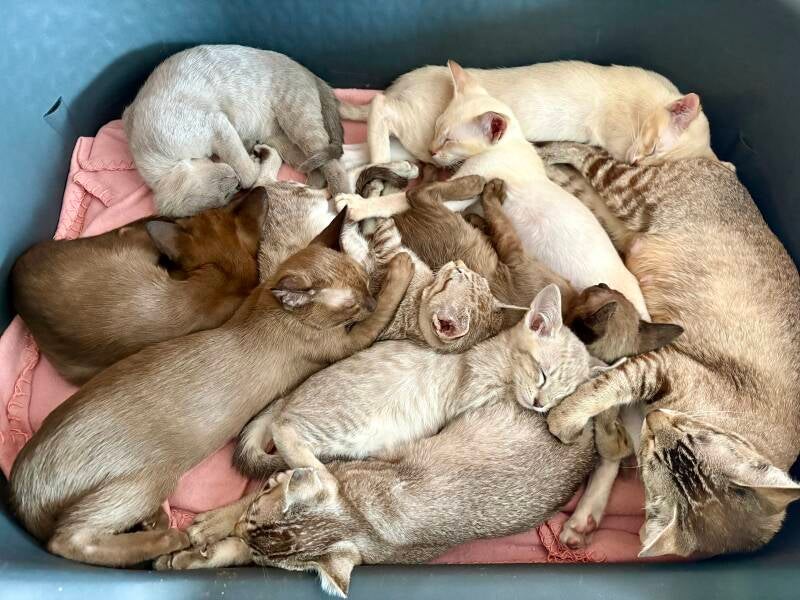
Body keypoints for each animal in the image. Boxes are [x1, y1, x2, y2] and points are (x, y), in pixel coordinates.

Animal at [8, 209, 414, 568]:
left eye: (365, 280)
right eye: (352, 304)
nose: (369, 299)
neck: (267, 308)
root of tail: (22, 484)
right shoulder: (351, 341)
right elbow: (382, 312)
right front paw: (402, 267)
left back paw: (156, 522)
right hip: (145, 481)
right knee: (68, 538)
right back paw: (169, 537)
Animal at [123, 45, 349, 217]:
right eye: (227, 196)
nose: (237, 184)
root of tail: (307, 70)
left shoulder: (217, 125)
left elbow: (246, 169)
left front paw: (252, 166)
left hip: (298, 122)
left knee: (334, 166)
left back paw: (343, 200)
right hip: (282, 141)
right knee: (314, 167)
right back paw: (310, 187)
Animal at [337, 61, 650, 320]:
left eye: (449, 139)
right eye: (437, 128)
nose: (432, 150)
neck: (510, 143)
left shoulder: (460, 193)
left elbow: (399, 199)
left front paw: (357, 205)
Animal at [338, 60, 722, 169]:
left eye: (656, 162)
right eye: (654, 148)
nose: (635, 163)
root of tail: (398, 84)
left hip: (419, 144)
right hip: (420, 136)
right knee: (379, 107)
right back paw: (378, 156)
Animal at [536, 141, 800, 557]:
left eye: (652, 460)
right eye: (697, 437)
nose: (657, 420)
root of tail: (722, 168)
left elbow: (610, 445)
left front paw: (586, 516)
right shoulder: (664, 366)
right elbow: (599, 392)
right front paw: (564, 420)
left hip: (622, 220)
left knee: (588, 192)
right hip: (633, 189)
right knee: (587, 156)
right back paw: (544, 152)